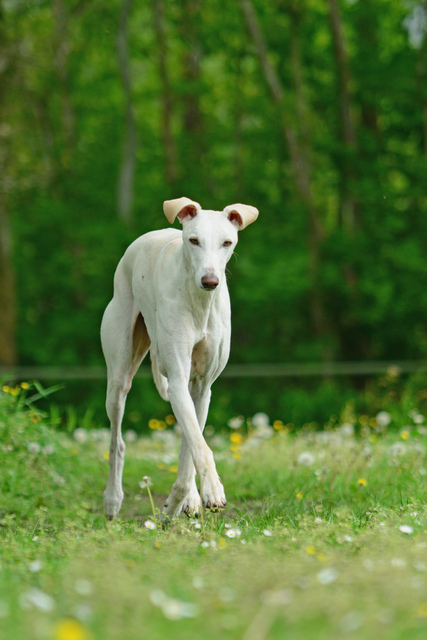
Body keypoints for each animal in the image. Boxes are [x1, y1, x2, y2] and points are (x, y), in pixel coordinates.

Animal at [101, 196, 258, 520]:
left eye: (227, 242)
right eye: (194, 240)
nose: (210, 281)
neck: (199, 303)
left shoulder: (201, 388)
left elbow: (191, 447)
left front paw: (183, 500)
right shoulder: (177, 378)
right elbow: (199, 446)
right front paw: (208, 492)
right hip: (119, 377)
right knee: (117, 441)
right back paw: (112, 500)